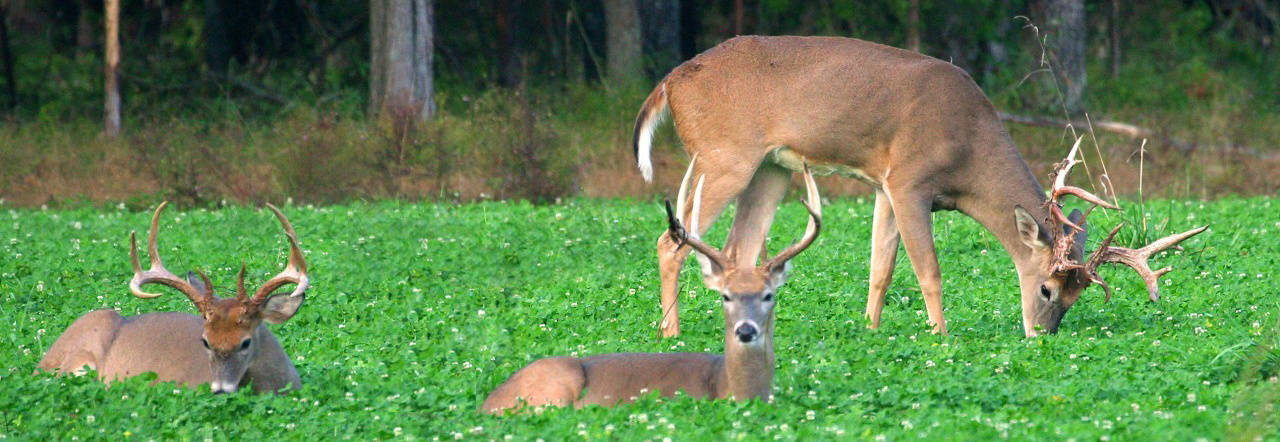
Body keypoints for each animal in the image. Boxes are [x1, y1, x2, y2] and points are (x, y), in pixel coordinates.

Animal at [478, 162, 819, 412]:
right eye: (725, 296)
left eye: (768, 295)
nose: (746, 330)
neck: (727, 386)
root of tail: (487, 404)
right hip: (556, 386)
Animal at [634, 35, 1203, 338]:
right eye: (1046, 287)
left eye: (1079, 293)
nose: (1042, 334)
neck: (968, 147)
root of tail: (668, 82)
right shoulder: (910, 180)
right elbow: (927, 270)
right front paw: (940, 335)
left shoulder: (884, 186)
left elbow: (880, 268)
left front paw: (870, 330)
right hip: (724, 155)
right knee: (671, 239)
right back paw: (670, 333)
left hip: (771, 169)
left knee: (739, 249)